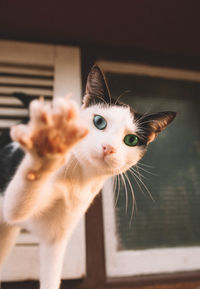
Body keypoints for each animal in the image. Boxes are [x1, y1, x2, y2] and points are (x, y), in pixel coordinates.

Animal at [0, 65, 175, 288]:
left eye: (131, 140)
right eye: (99, 121)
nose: (108, 148)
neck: (78, 179)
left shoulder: (55, 239)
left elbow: (51, 278)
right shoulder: (11, 206)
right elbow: (17, 205)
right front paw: (47, 146)